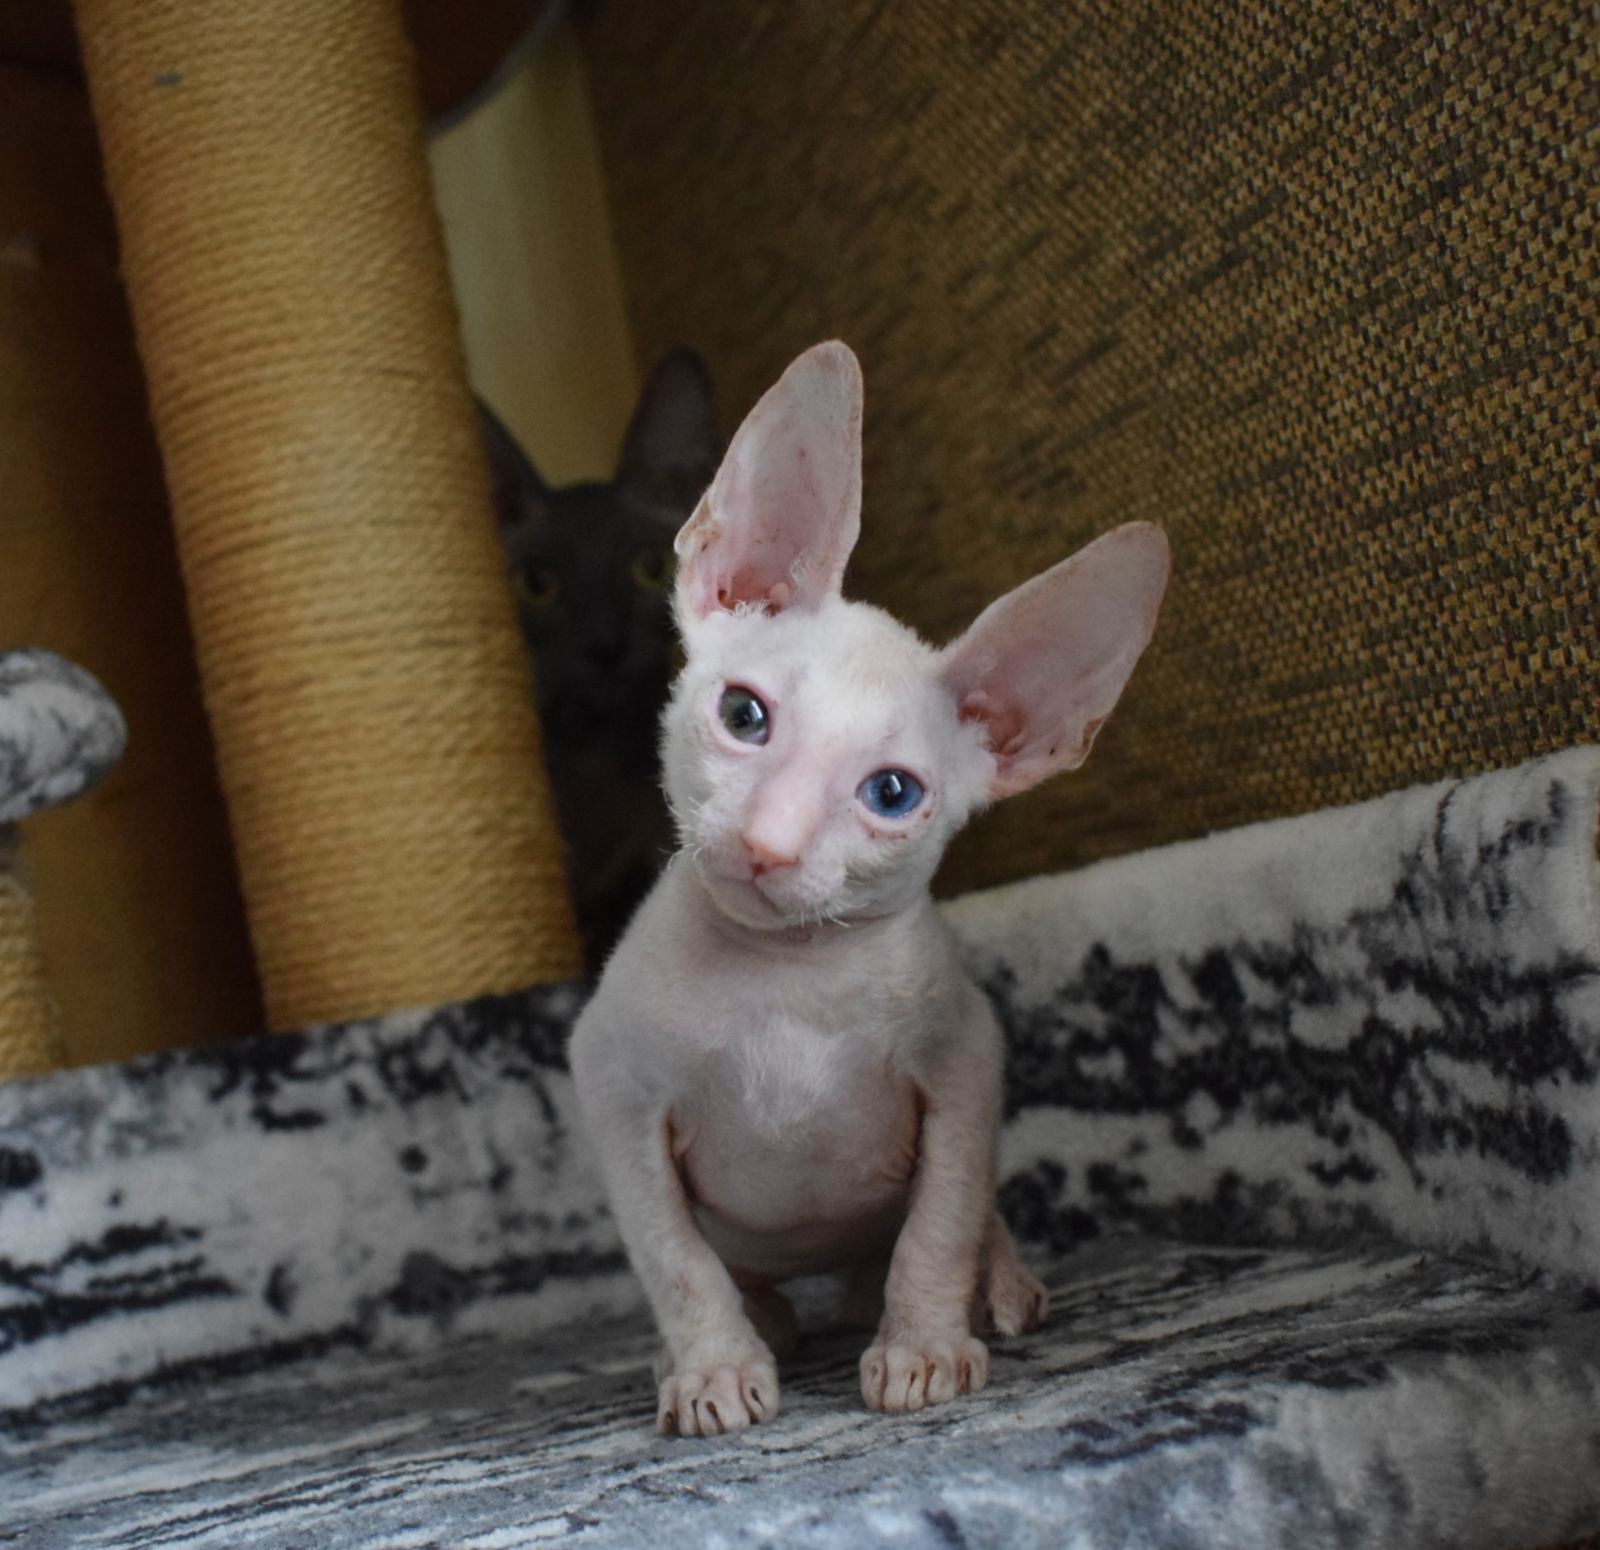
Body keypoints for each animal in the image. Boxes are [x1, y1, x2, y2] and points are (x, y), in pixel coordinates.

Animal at [569, 345, 1171, 1433]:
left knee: (957, 1223)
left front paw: (923, 1347)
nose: (767, 843)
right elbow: (676, 1261)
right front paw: (714, 1369)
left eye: (891, 793)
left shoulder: (965, 1062)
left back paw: (992, 1288)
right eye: (743, 715)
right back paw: (765, 1321)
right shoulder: (613, 1091)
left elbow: (940, 1219)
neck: (783, 973)